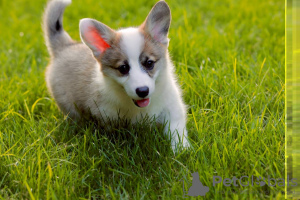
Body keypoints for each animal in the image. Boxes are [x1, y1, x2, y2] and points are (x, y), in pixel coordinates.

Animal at [43, 0, 189, 150]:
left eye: (149, 63)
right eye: (123, 68)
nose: (143, 91)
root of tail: (65, 46)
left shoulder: (173, 107)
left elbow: (176, 130)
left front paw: (181, 149)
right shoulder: (107, 117)